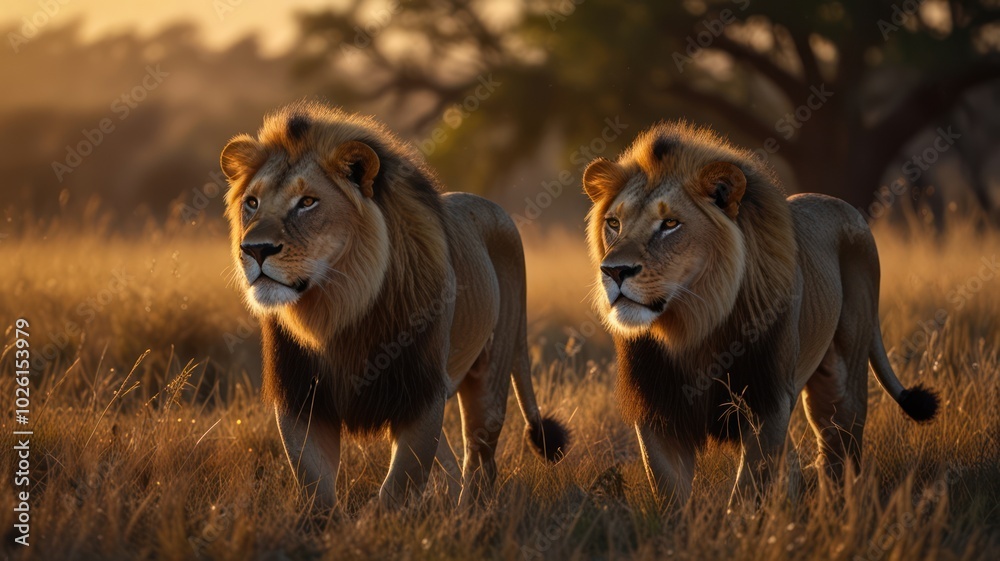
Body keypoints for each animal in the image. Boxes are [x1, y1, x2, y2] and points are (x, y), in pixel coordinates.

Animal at [220, 101, 568, 510]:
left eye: (307, 202)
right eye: (252, 202)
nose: (255, 250)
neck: (337, 308)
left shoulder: (420, 390)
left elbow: (399, 485)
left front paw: (378, 523)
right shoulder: (302, 396)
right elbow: (315, 485)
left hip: (493, 370)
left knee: (481, 455)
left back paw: (472, 511)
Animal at [583, 121, 938, 507]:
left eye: (670, 224)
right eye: (614, 223)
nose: (614, 271)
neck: (693, 325)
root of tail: (845, 206)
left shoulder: (767, 401)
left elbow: (747, 490)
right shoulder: (657, 409)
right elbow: (671, 494)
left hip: (844, 373)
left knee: (841, 447)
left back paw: (841, 509)